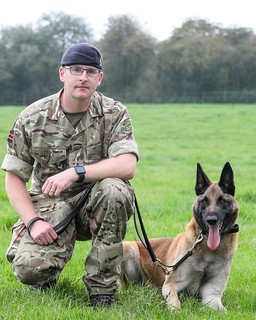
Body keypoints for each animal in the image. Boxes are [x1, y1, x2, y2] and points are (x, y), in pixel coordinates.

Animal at [121, 162, 239, 310]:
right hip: (128, 247)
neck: (208, 252)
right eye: (204, 201)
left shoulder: (211, 296)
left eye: (222, 201)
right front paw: (176, 310)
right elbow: (175, 302)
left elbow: (223, 310)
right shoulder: (170, 285)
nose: (211, 220)